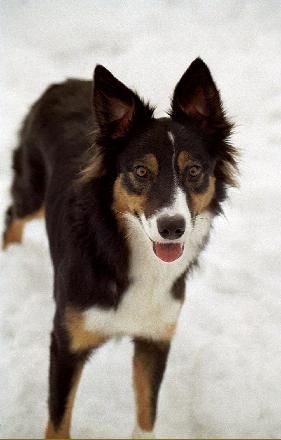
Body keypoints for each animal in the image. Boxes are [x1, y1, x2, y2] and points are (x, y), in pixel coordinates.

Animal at [2, 57, 236, 436]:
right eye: (140, 171)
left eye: (194, 170)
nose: (172, 228)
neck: (127, 250)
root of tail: (61, 83)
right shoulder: (66, 343)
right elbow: (58, 424)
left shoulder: (155, 338)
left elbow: (146, 414)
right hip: (31, 191)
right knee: (13, 215)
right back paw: (11, 258)